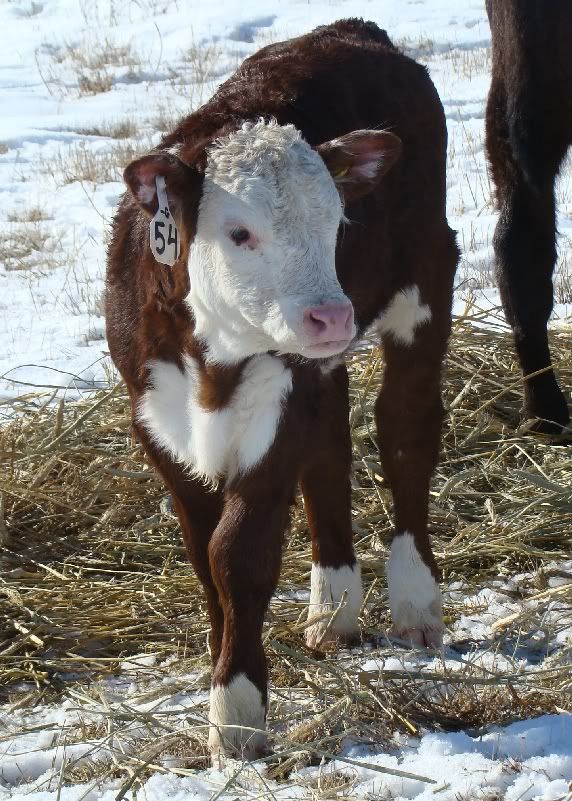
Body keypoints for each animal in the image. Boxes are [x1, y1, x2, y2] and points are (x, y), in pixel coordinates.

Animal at [106, 19, 459, 761]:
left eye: (336, 223)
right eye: (239, 232)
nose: (332, 316)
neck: (214, 362)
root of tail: (352, 30)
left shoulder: (279, 406)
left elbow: (237, 554)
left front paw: (236, 710)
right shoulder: (155, 420)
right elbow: (203, 556)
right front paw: (223, 666)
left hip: (426, 276)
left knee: (405, 432)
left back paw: (414, 601)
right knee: (331, 449)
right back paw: (334, 609)